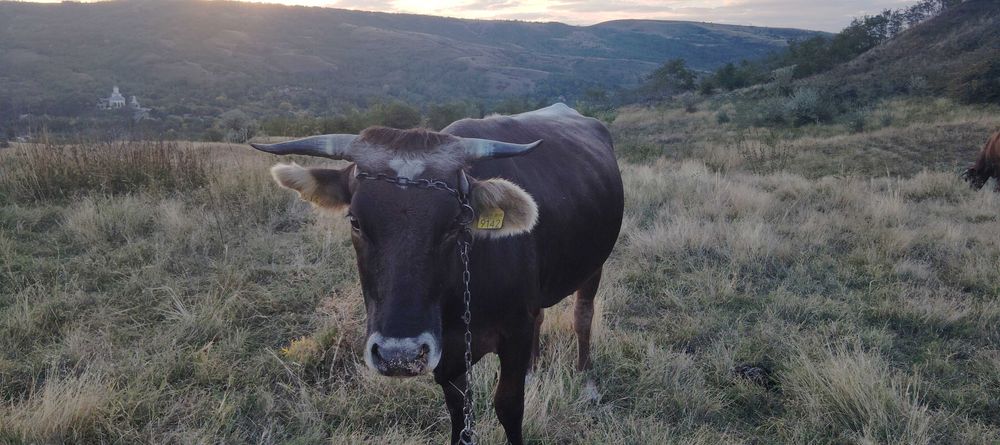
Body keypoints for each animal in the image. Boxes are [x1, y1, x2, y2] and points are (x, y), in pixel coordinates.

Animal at [249, 103, 624, 444]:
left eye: (456, 223)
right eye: (355, 220)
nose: (398, 356)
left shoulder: (514, 332)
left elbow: (508, 406)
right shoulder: (449, 353)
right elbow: (458, 410)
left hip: (594, 266)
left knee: (582, 315)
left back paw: (586, 379)